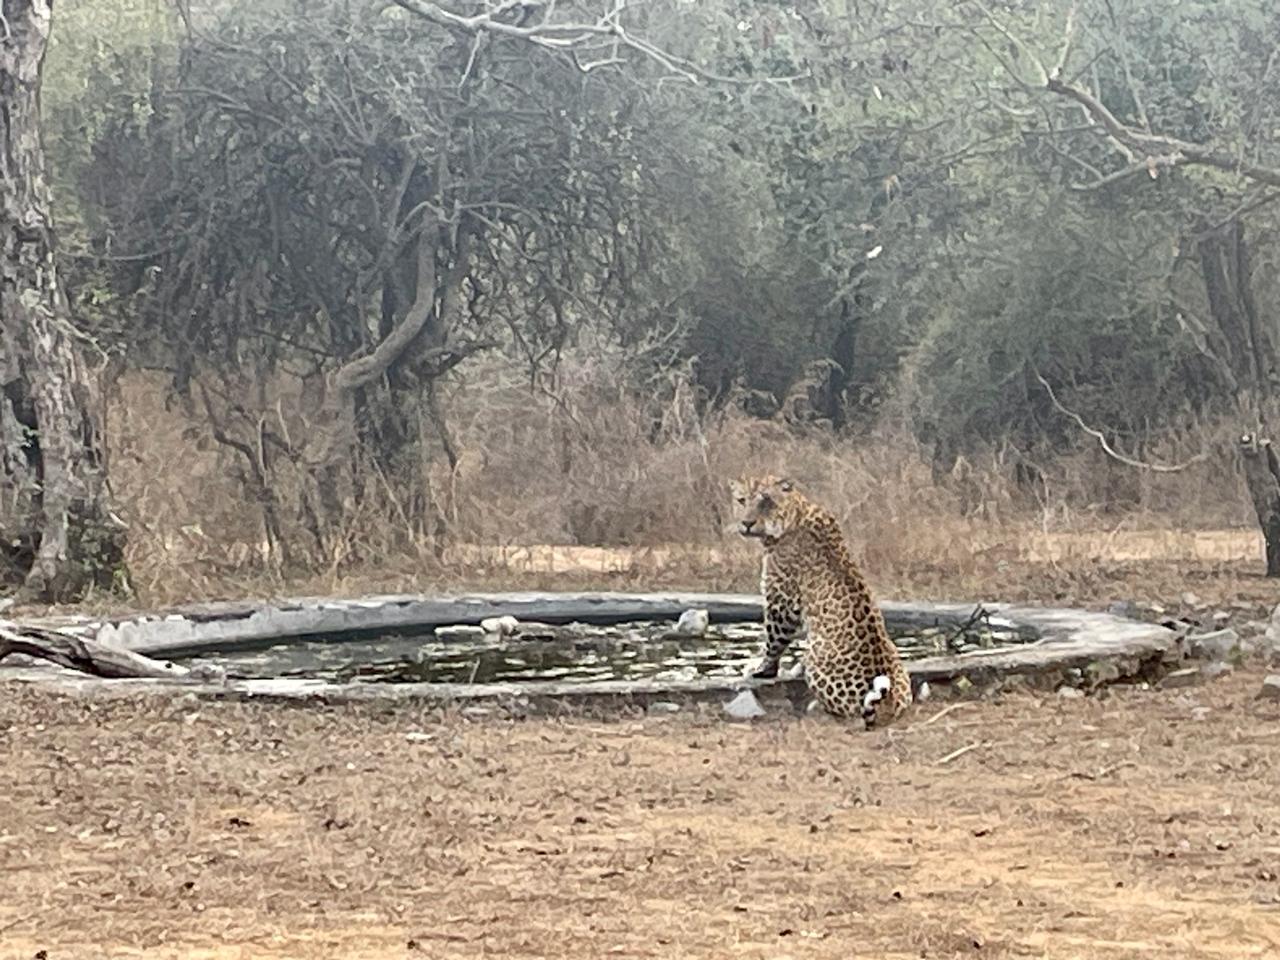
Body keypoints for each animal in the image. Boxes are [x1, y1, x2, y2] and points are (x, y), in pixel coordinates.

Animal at [729, 474, 912, 729]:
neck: (797, 512)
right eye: (741, 500)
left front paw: (763, 670)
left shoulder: (781, 601)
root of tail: (890, 701)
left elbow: (773, 641)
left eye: (766, 502)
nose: (746, 523)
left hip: (814, 656)